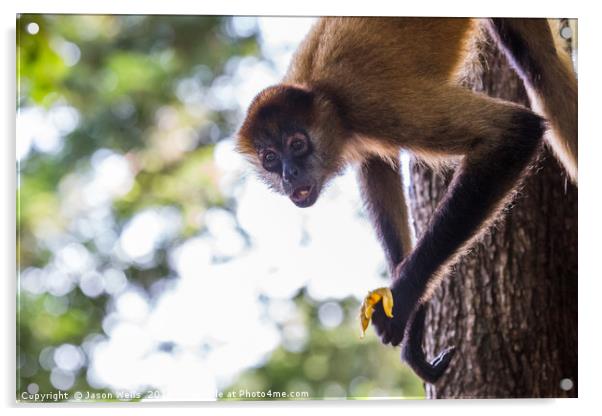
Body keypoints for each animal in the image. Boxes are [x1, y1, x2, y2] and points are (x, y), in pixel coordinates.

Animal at [234, 18, 576, 384]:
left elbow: (514, 131)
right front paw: (415, 319)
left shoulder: (369, 103)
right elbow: (376, 165)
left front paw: (404, 298)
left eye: (297, 145)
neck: (323, 93)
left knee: (537, 66)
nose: (289, 173)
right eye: (270, 158)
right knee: (541, 63)